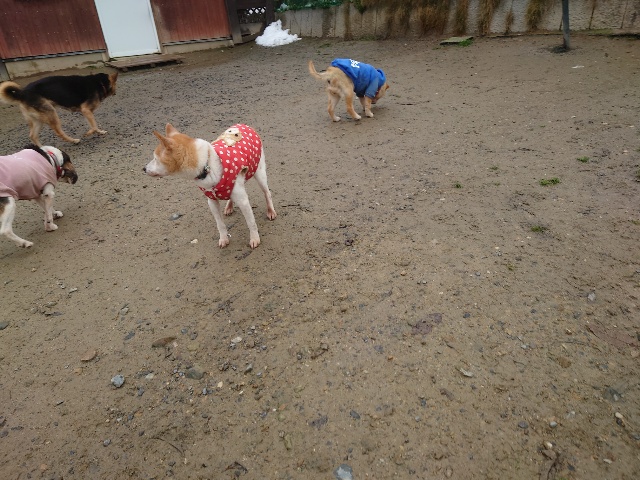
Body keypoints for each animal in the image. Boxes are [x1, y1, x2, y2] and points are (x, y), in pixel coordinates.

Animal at [143, 124, 277, 249]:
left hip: (259, 173)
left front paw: (254, 238)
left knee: (267, 193)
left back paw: (270, 210)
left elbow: (251, 222)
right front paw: (224, 238)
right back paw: (229, 206)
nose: (143, 169)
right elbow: (220, 224)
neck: (206, 166)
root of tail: (244, 125)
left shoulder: (243, 201)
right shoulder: (212, 202)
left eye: (155, 159)